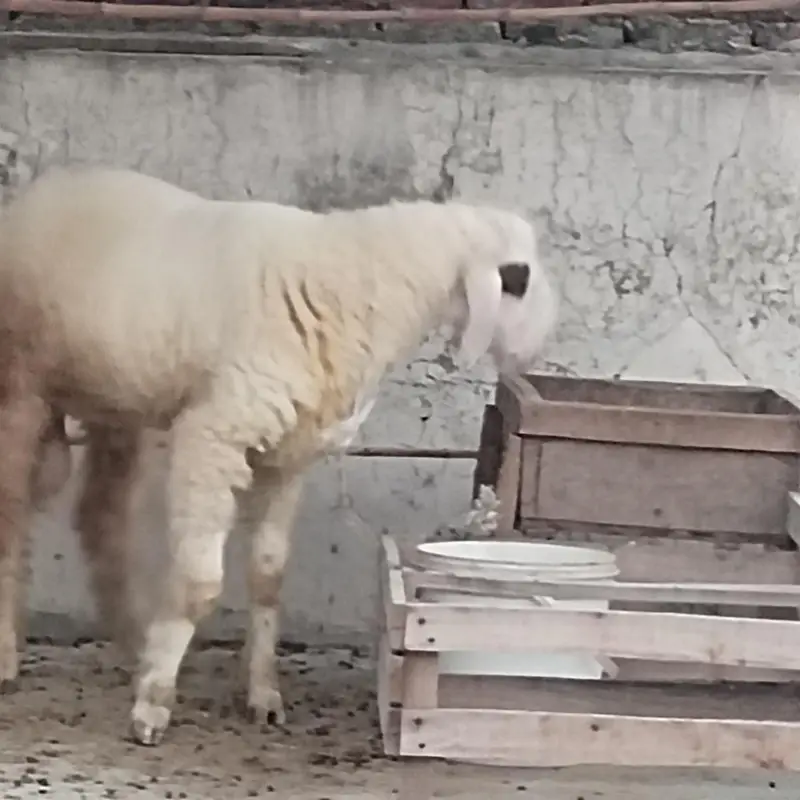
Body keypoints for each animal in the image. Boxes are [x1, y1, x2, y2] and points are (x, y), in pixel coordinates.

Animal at [0, 164, 558, 746]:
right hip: (20, 383)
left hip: (116, 401)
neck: (353, 281)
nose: (542, 343)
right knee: (12, 520)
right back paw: (9, 657)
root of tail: (48, 185)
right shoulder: (215, 436)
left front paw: (262, 695)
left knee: (99, 516)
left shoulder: (289, 456)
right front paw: (153, 705)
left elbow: (269, 577)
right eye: (519, 278)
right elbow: (200, 583)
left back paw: (133, 642)